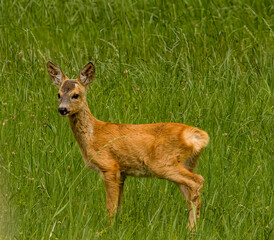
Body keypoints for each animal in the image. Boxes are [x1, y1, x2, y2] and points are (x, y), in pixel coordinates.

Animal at [47, 61, 210, 230]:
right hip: (186, 163)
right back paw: (192, 227)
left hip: (162, 163)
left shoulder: (109, 166)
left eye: (75, 95)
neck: (92, 135)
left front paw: (108, 229)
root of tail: (197, 136)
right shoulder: (122, 172)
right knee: (190, 194)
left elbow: (110, 207)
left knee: (197, 181)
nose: (62, 109)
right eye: (58, 94)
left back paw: (192, 228)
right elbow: (118, 205)